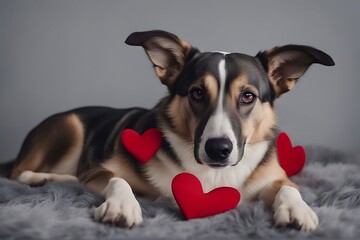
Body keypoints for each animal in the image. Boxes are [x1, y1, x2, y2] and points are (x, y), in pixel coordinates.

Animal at [9, 30, 334, 231]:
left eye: (248, 96)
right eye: (197, 93)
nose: (218, 149)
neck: (211, 175)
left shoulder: (273, 177)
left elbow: (289, 187)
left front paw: (298, 210)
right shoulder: (100, 170)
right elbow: (119, 180)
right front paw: (121, 206)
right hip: (69, 125)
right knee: (18, 172)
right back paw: (43, 177)